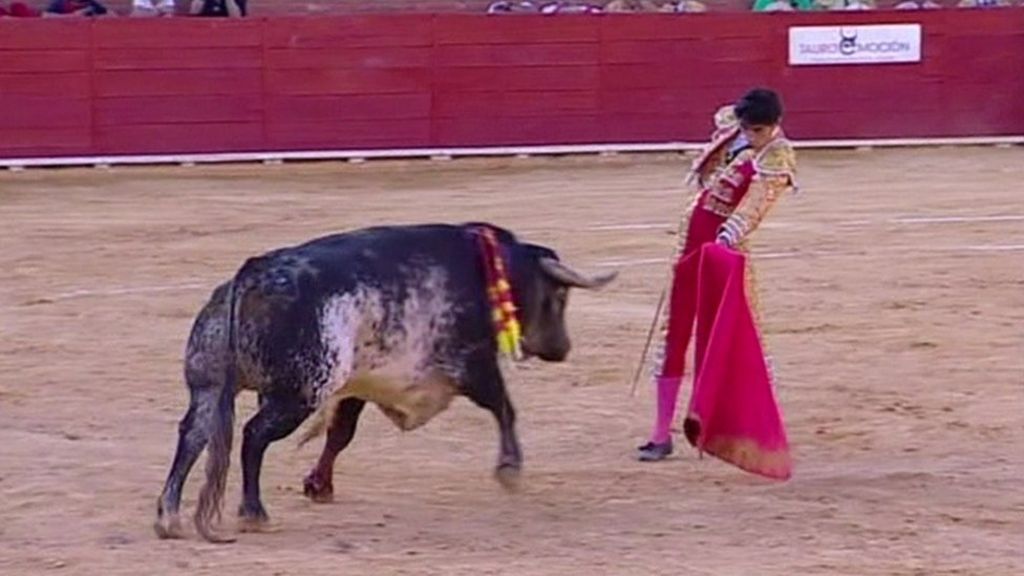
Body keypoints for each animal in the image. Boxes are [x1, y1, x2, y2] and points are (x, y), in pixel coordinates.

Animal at [153, 222, 617, 542]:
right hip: (299, 393)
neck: (491, 268)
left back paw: (168, 517)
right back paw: (253, 513)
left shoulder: (358, 384)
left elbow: (340, 433)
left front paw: (318, 485)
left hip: (210, 385)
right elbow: (504, 406)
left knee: (193, 435)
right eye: (559, 296)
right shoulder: (472, 364)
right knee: (253, 436)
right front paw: (510, 469)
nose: (563, 348)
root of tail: (251, 275)